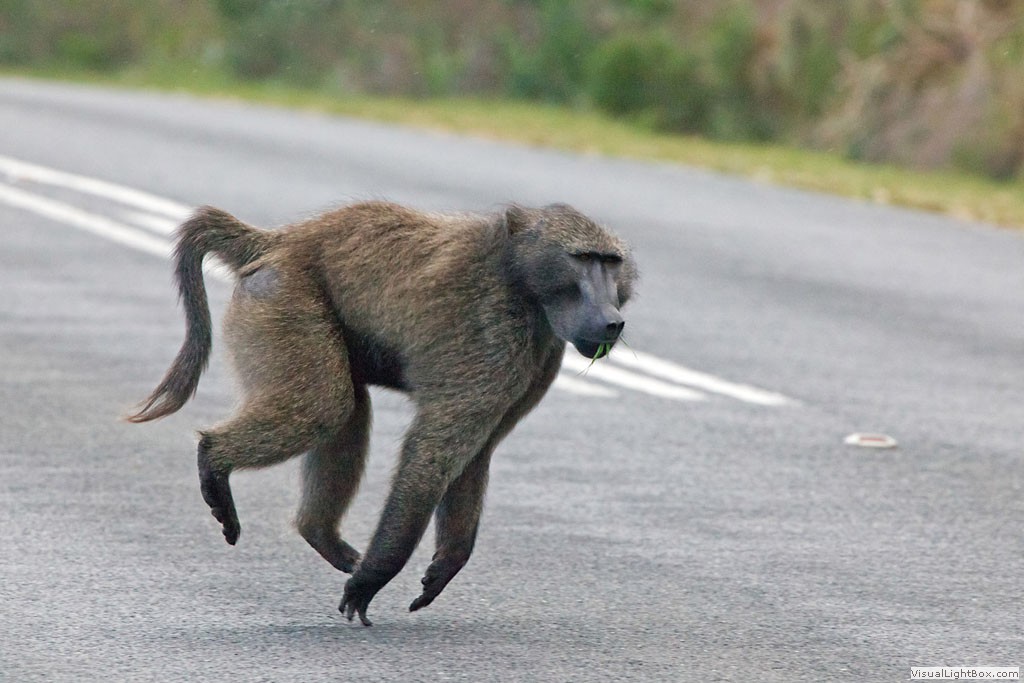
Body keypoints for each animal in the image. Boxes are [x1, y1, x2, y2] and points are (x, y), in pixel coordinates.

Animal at [128, 200, 637, 625]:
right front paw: (373, 580)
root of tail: (279, 241)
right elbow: (434, 450)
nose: (612, 321)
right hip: (284, 299)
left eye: (611, 263)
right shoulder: (492, 335)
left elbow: (477, 451)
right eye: (583, 259)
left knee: (346, 405)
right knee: (324, 405)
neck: (520, 278)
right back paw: (215, 462)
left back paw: (320, 533)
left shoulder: (534, 359)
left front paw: (443, 566)